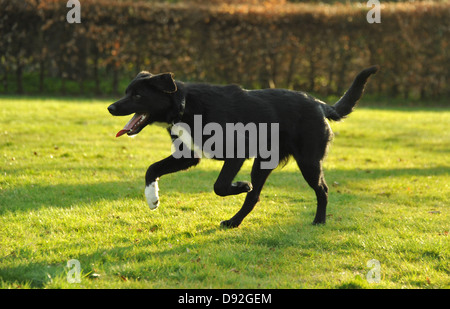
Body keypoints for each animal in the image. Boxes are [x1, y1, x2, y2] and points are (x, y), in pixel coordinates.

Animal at [109, 66, 380, 227]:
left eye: (137, 96)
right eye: (127, 92)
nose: (111, 108)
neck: (185, 105)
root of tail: (320, 104)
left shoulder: (236, 153)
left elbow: (219, 186)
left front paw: (240, 185)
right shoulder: (187, 156)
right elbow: (151, 169)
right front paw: (152, 198)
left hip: (308, 162)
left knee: (322, 190)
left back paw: (319, 221)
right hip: (264, 163)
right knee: (255, 197)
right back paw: (234, 221)